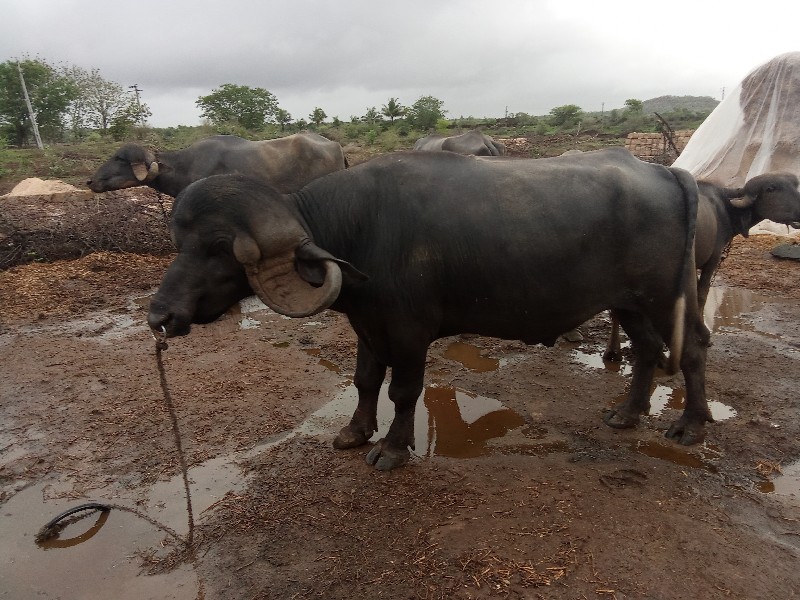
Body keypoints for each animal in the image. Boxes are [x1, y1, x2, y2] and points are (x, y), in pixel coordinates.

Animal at [150, 148, 712, 472]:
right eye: (181, 243)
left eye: (221, 249)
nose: (160, 316)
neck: (361, 229)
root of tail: (668, 174)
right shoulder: (368, 325)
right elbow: (365, 379)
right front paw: (354, 431)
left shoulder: (409, 331)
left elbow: (403, 390)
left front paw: (393, 448)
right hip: (630, 303)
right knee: (647, 349)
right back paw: (628, 413)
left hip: (664, 296)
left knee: (693, 348)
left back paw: (690, 425)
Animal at [604, 173, 796, 360]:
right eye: (771, 188)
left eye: (796, 184)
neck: (724, 209)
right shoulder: (712, 259)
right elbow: (701, 294)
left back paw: (614, 350)